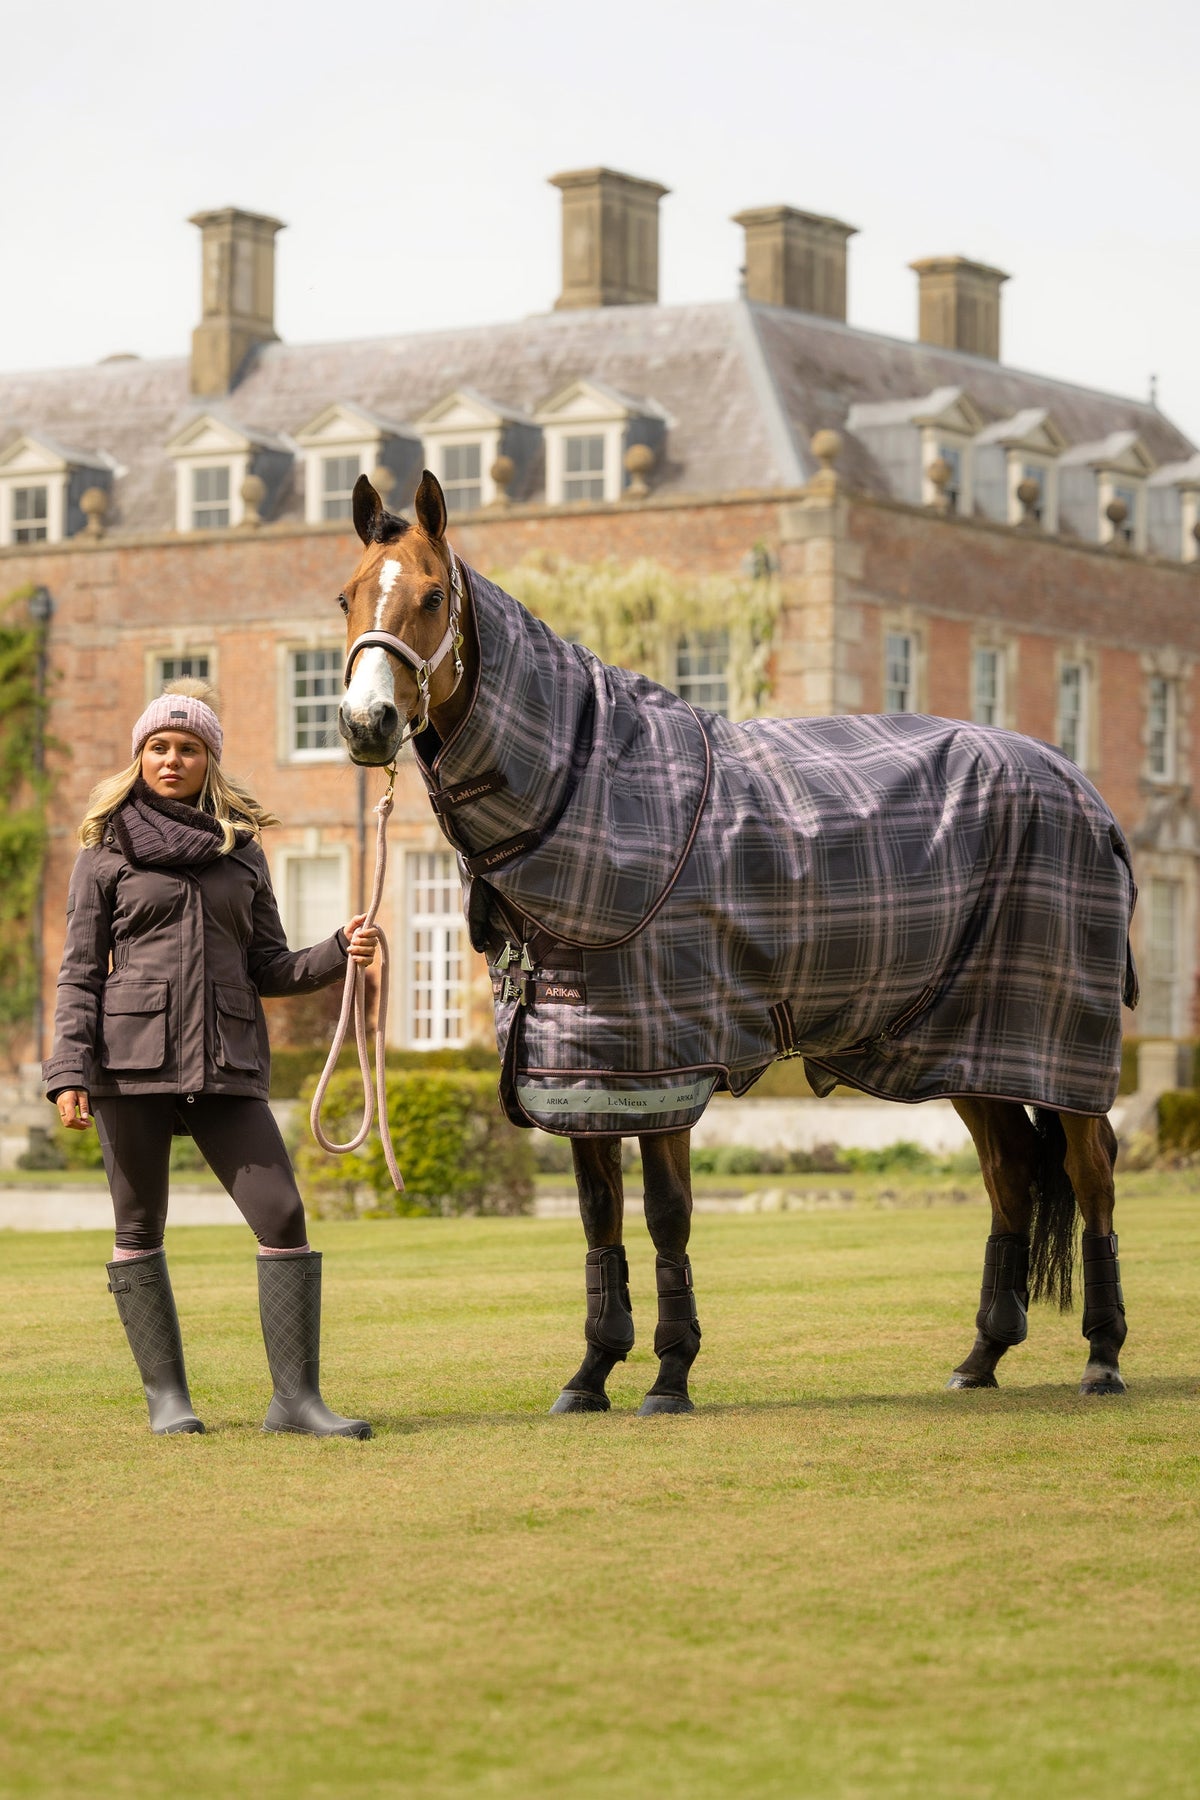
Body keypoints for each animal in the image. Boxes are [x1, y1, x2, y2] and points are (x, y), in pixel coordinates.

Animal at [334, 469, 1136, 1413]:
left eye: (431, 596)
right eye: (347, 596)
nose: (365, 723)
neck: (593, 797)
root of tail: (1080, 789)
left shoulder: (662, 1065)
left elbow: (666, 1214)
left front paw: (670, 1373)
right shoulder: (579, 1069)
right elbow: (599, 1216)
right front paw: (593, 1371)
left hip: (1061, 1044)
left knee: (1092, 1173)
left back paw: (1103, 1354)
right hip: (971, 1043)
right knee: (1010, 1172)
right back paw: (982, 1356)